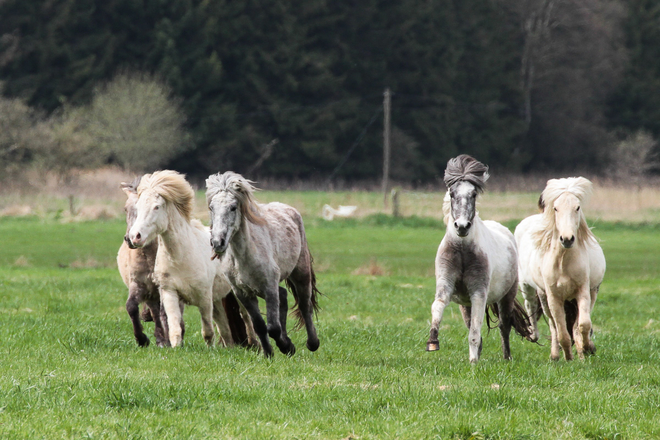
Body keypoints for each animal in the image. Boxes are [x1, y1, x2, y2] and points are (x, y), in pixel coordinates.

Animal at [206, 171, 320, 358]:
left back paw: (313, 343)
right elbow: (259, 325)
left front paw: (287, 347)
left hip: (300, 273)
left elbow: (273, 327)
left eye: (233, 207)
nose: (217, 242)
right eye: (211, 208)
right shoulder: (243, 293)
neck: (244, 257)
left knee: (305, 305)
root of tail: (289, 209)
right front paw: (268, 354)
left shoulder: (269, 287)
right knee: (284, 296)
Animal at [426, 156, 532, 362]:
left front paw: (473, 361)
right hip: (465, 305)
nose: (461, 226)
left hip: (506, 296)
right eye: (452, 193)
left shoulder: (478, 293)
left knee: (504, 326)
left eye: (473, 194)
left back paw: (506, 357)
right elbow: (438, 307)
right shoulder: (446, 287)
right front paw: (433, 341)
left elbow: (475, 331)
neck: (462, 251)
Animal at [520, 176, 604, 360]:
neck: (563, 262)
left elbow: (583, 325)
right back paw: (555, 355)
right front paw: (568, 357)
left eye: (577, 207)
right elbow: (562, 332)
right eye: (556, 208)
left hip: (592, 292)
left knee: (576, 325)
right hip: (542, 297)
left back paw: (582, 351)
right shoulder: (553, 297)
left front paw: (584, 349)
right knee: (553, 326)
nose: (567, 239)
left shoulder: (583, 291)